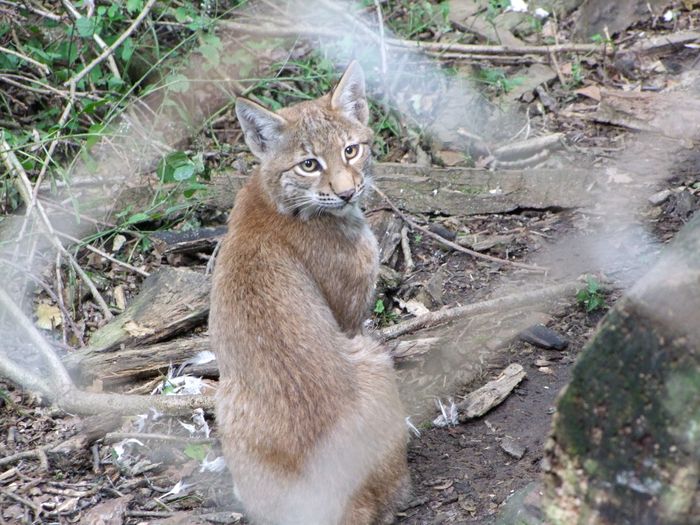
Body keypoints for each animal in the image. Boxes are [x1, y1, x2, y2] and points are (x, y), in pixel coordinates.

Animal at [211, 62, 412, 524]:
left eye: (351, 150)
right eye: (308, 164)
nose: (347, 191)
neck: (272, 194)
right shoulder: (351, 317)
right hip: (370, 355)